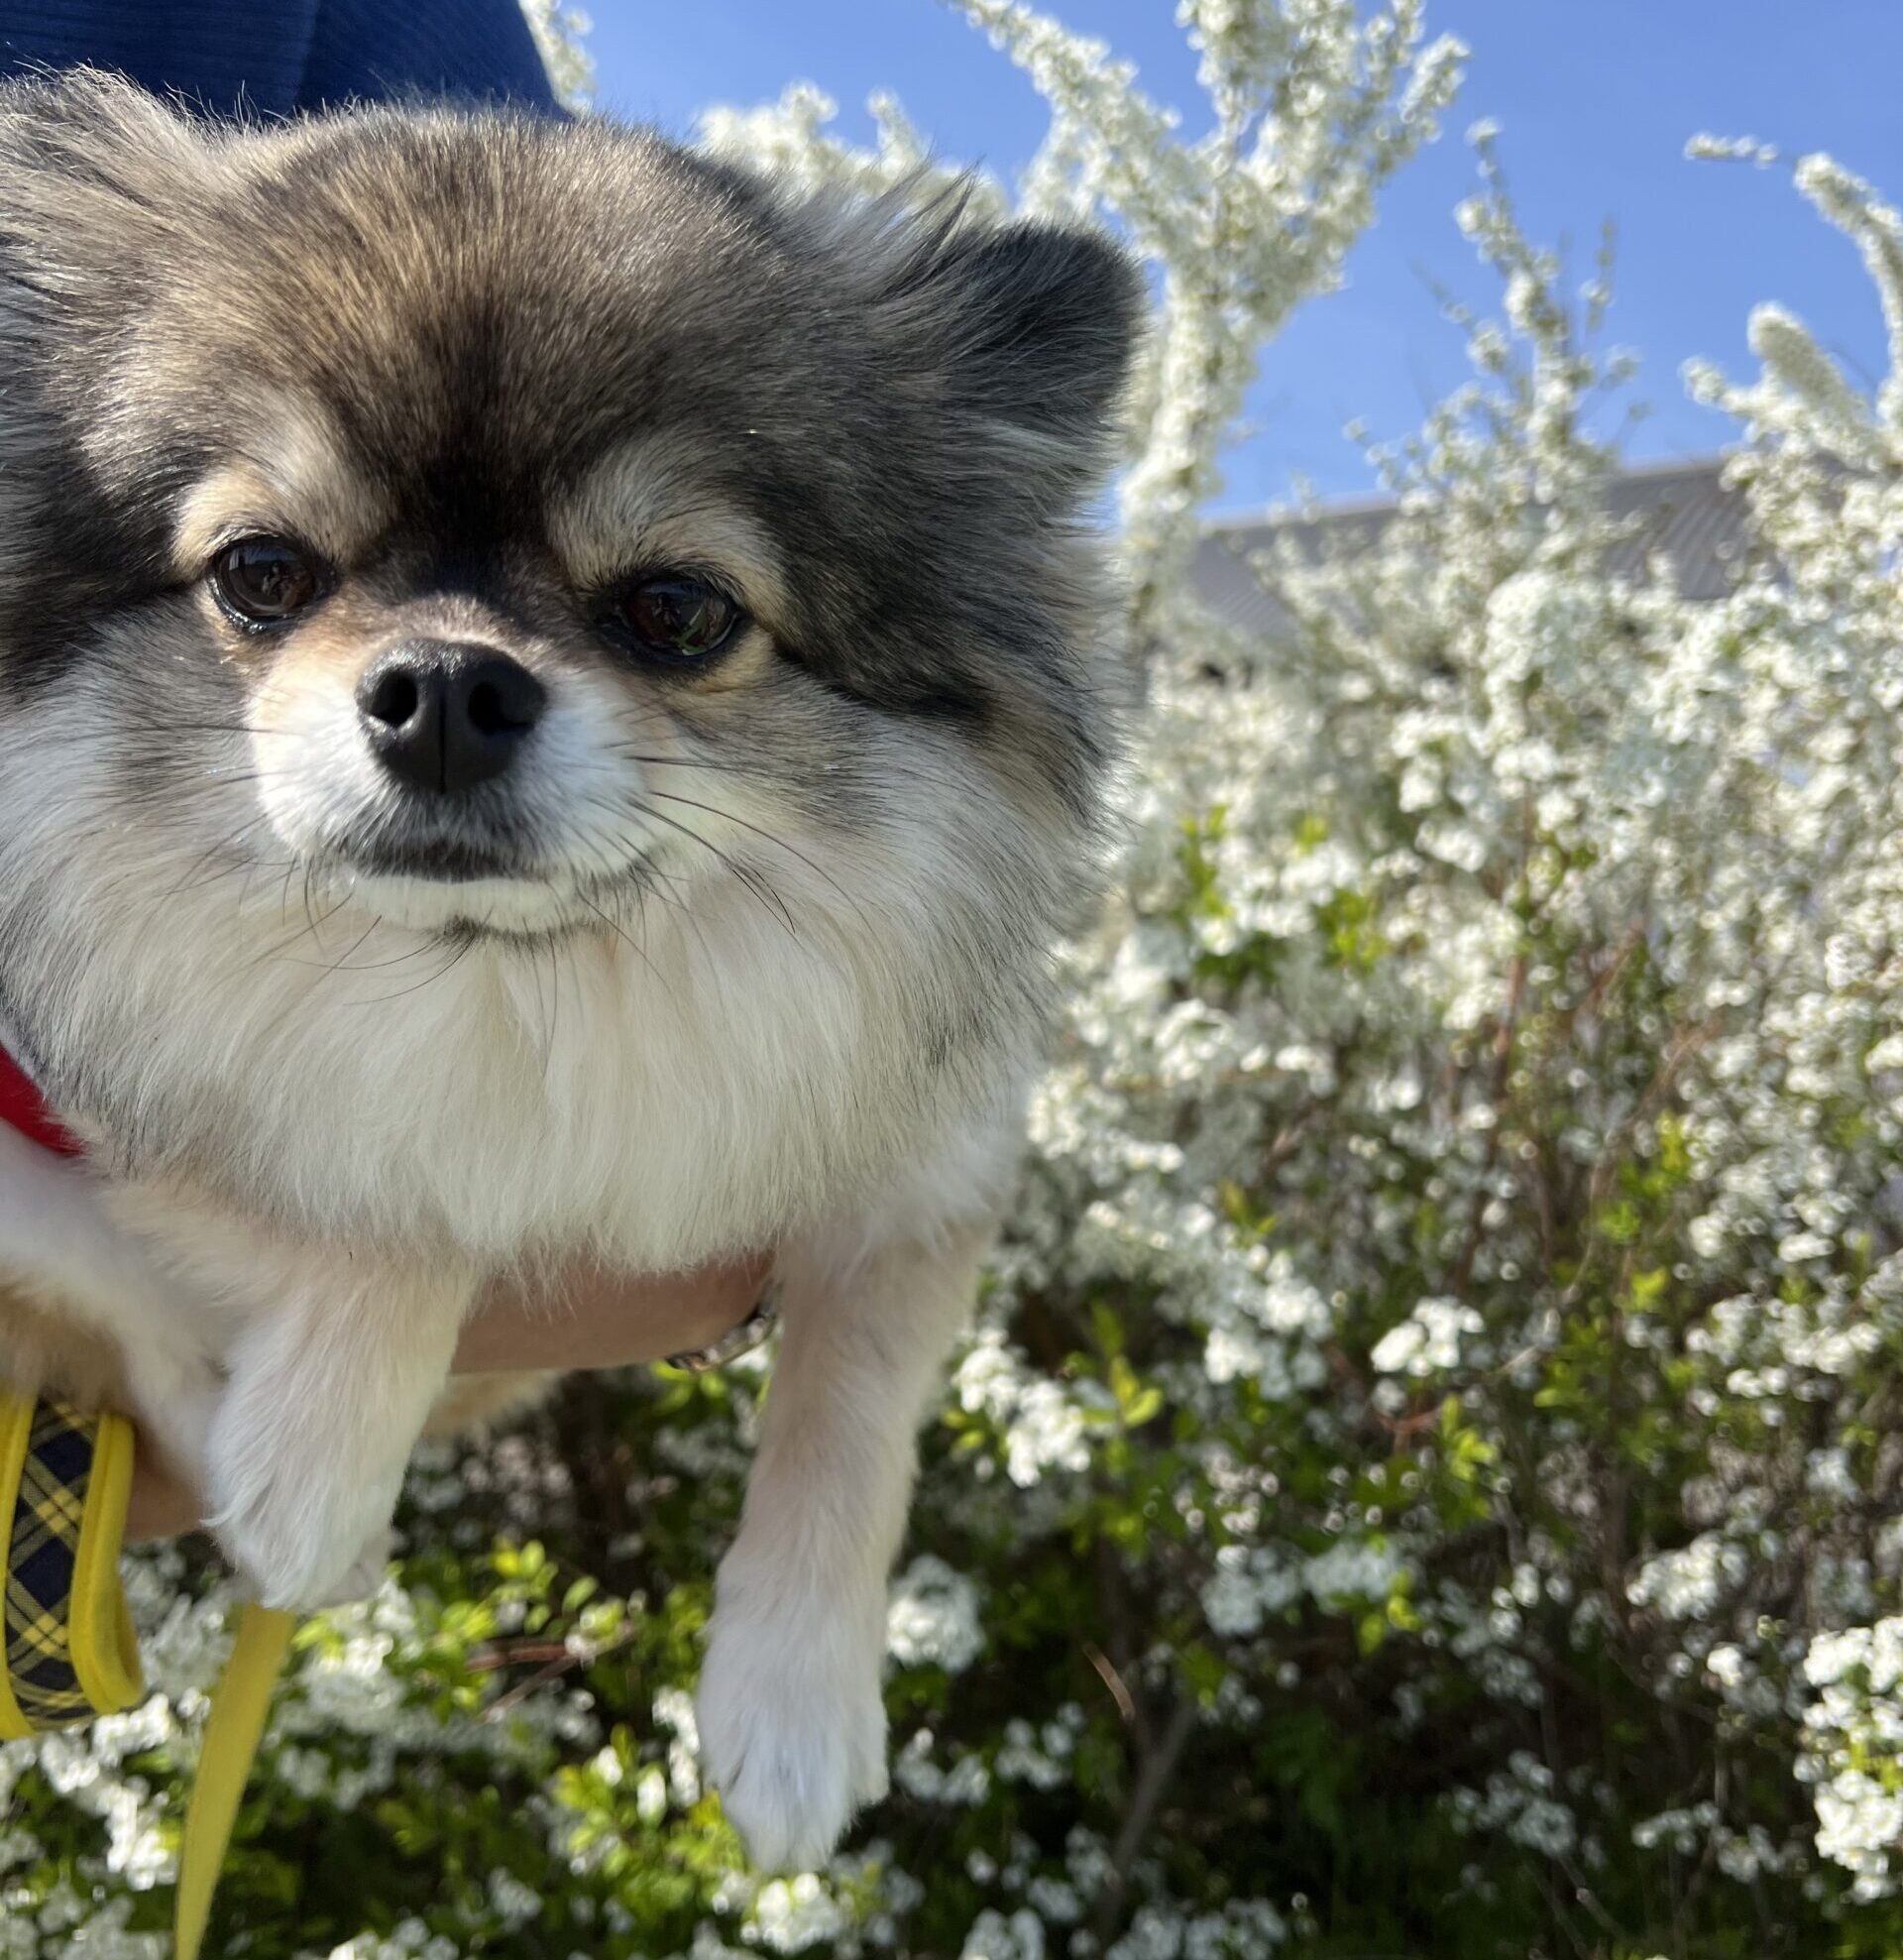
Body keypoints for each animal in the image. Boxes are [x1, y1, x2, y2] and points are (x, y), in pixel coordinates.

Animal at [0, 72, 1136, 1850]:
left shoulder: (927, 1160)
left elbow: (858, 1397)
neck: (512, 985)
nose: (445, 687)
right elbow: (366, 1186)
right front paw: (308, 1471)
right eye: (262, 573)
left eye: (675, 608)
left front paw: (795, 1710)